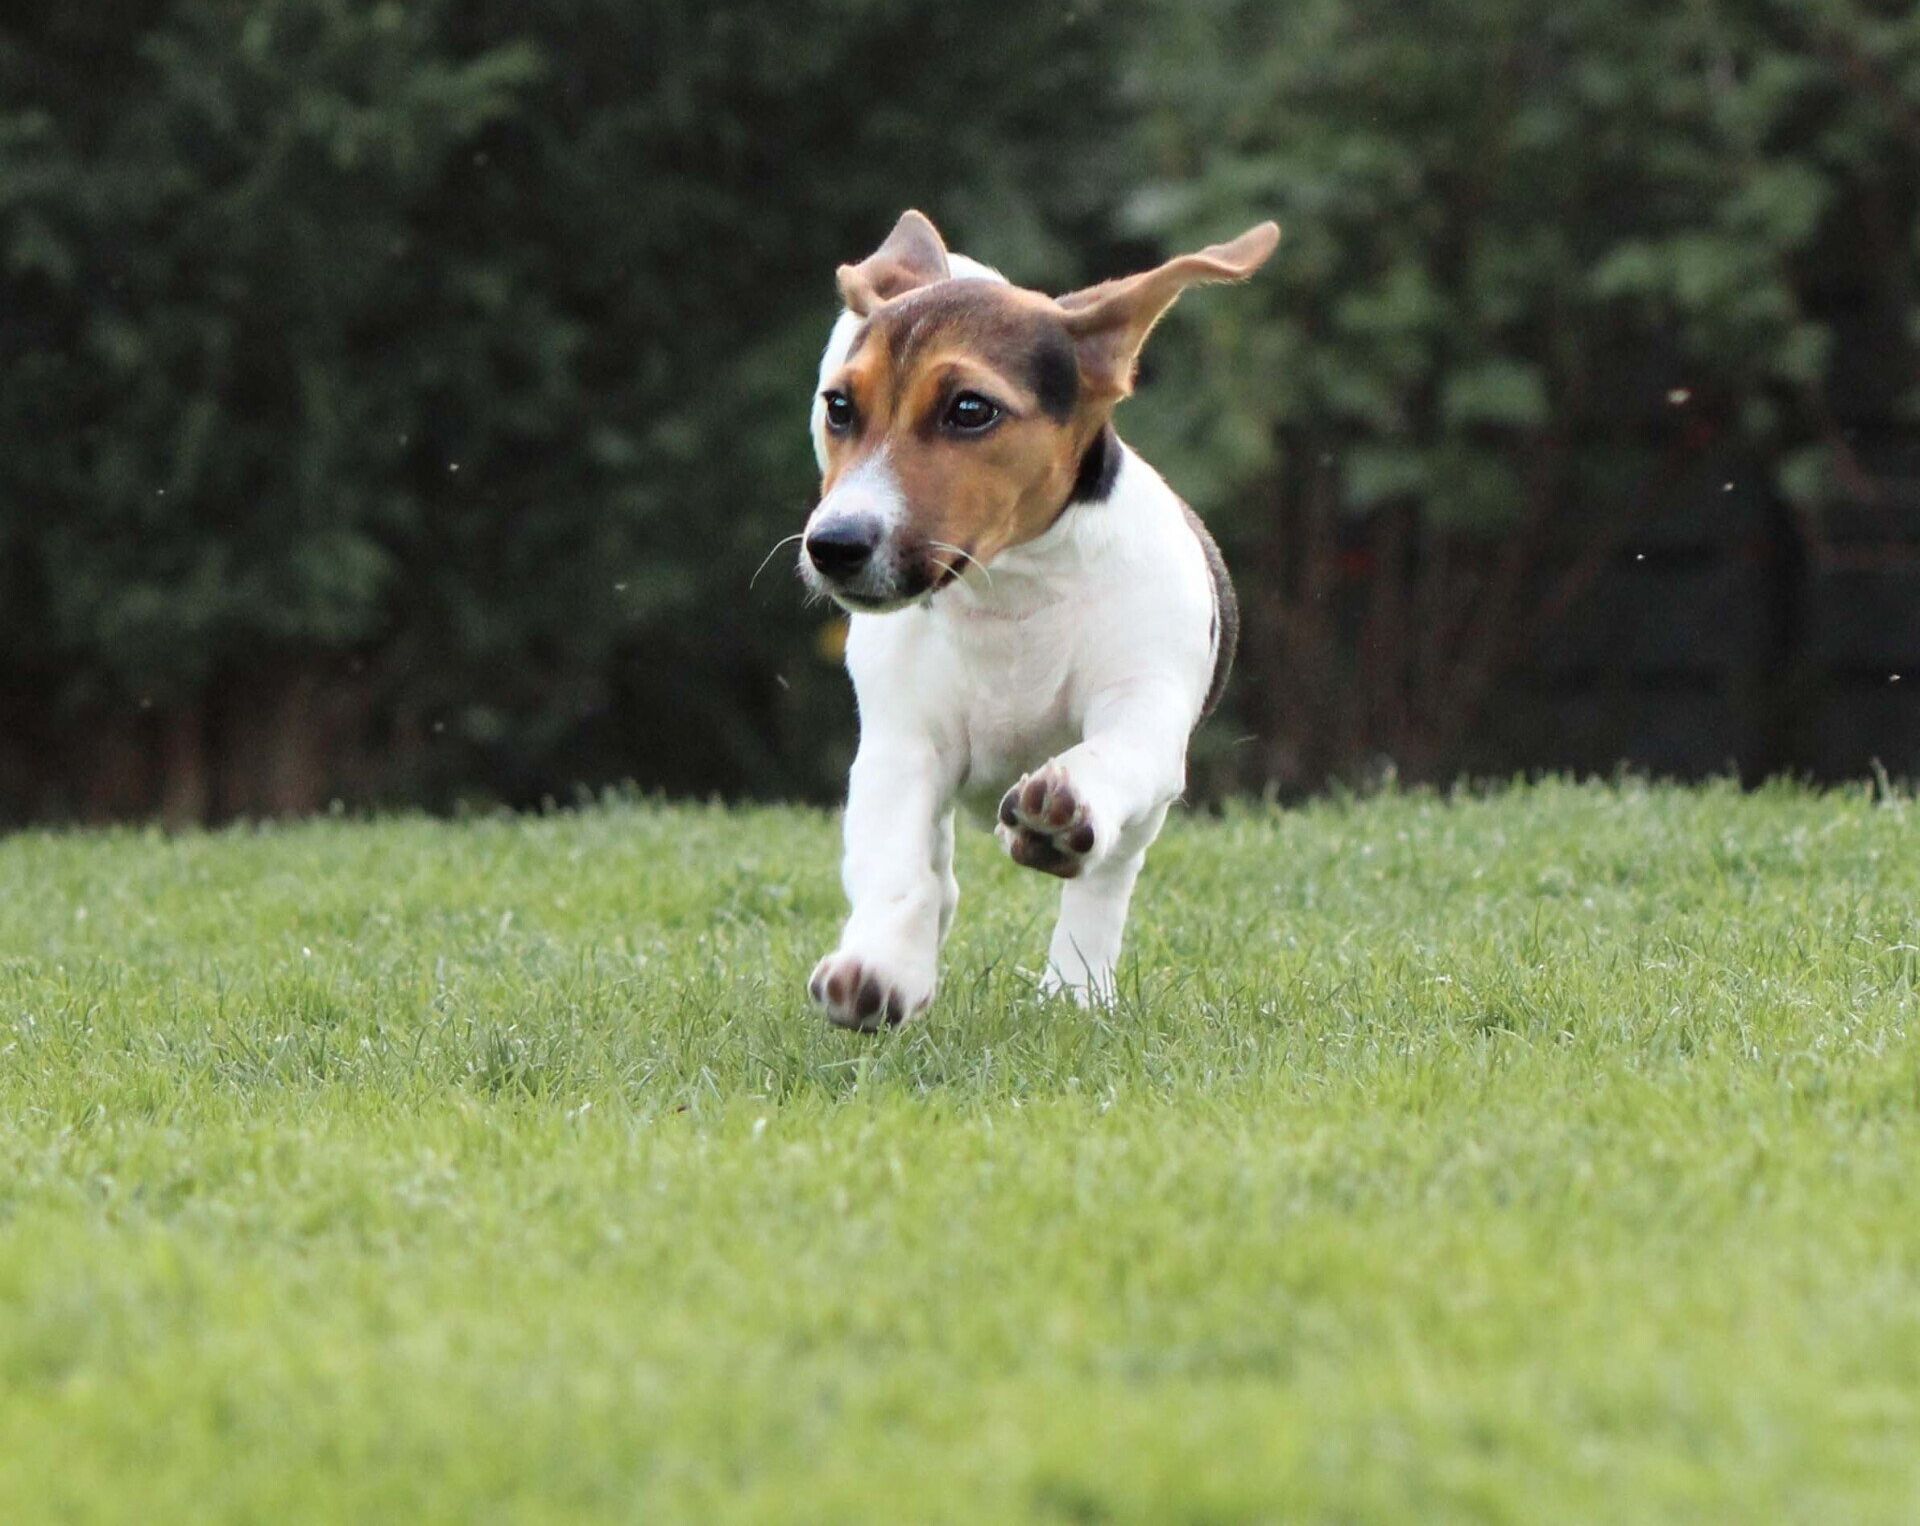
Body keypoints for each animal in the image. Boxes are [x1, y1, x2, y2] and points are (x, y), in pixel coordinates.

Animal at [798, 209, 1278, 1029]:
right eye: (840, 407)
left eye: (970, 409)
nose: (833, 544)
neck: (1012, 592)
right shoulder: (903, 746)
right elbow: (899, 867)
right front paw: (881, 968)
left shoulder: (1146, 708)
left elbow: (1106, 762)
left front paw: (1064, 811)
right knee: (939, 873)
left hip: (1144, 811)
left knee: (1105, 880)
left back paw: (1076, 987)